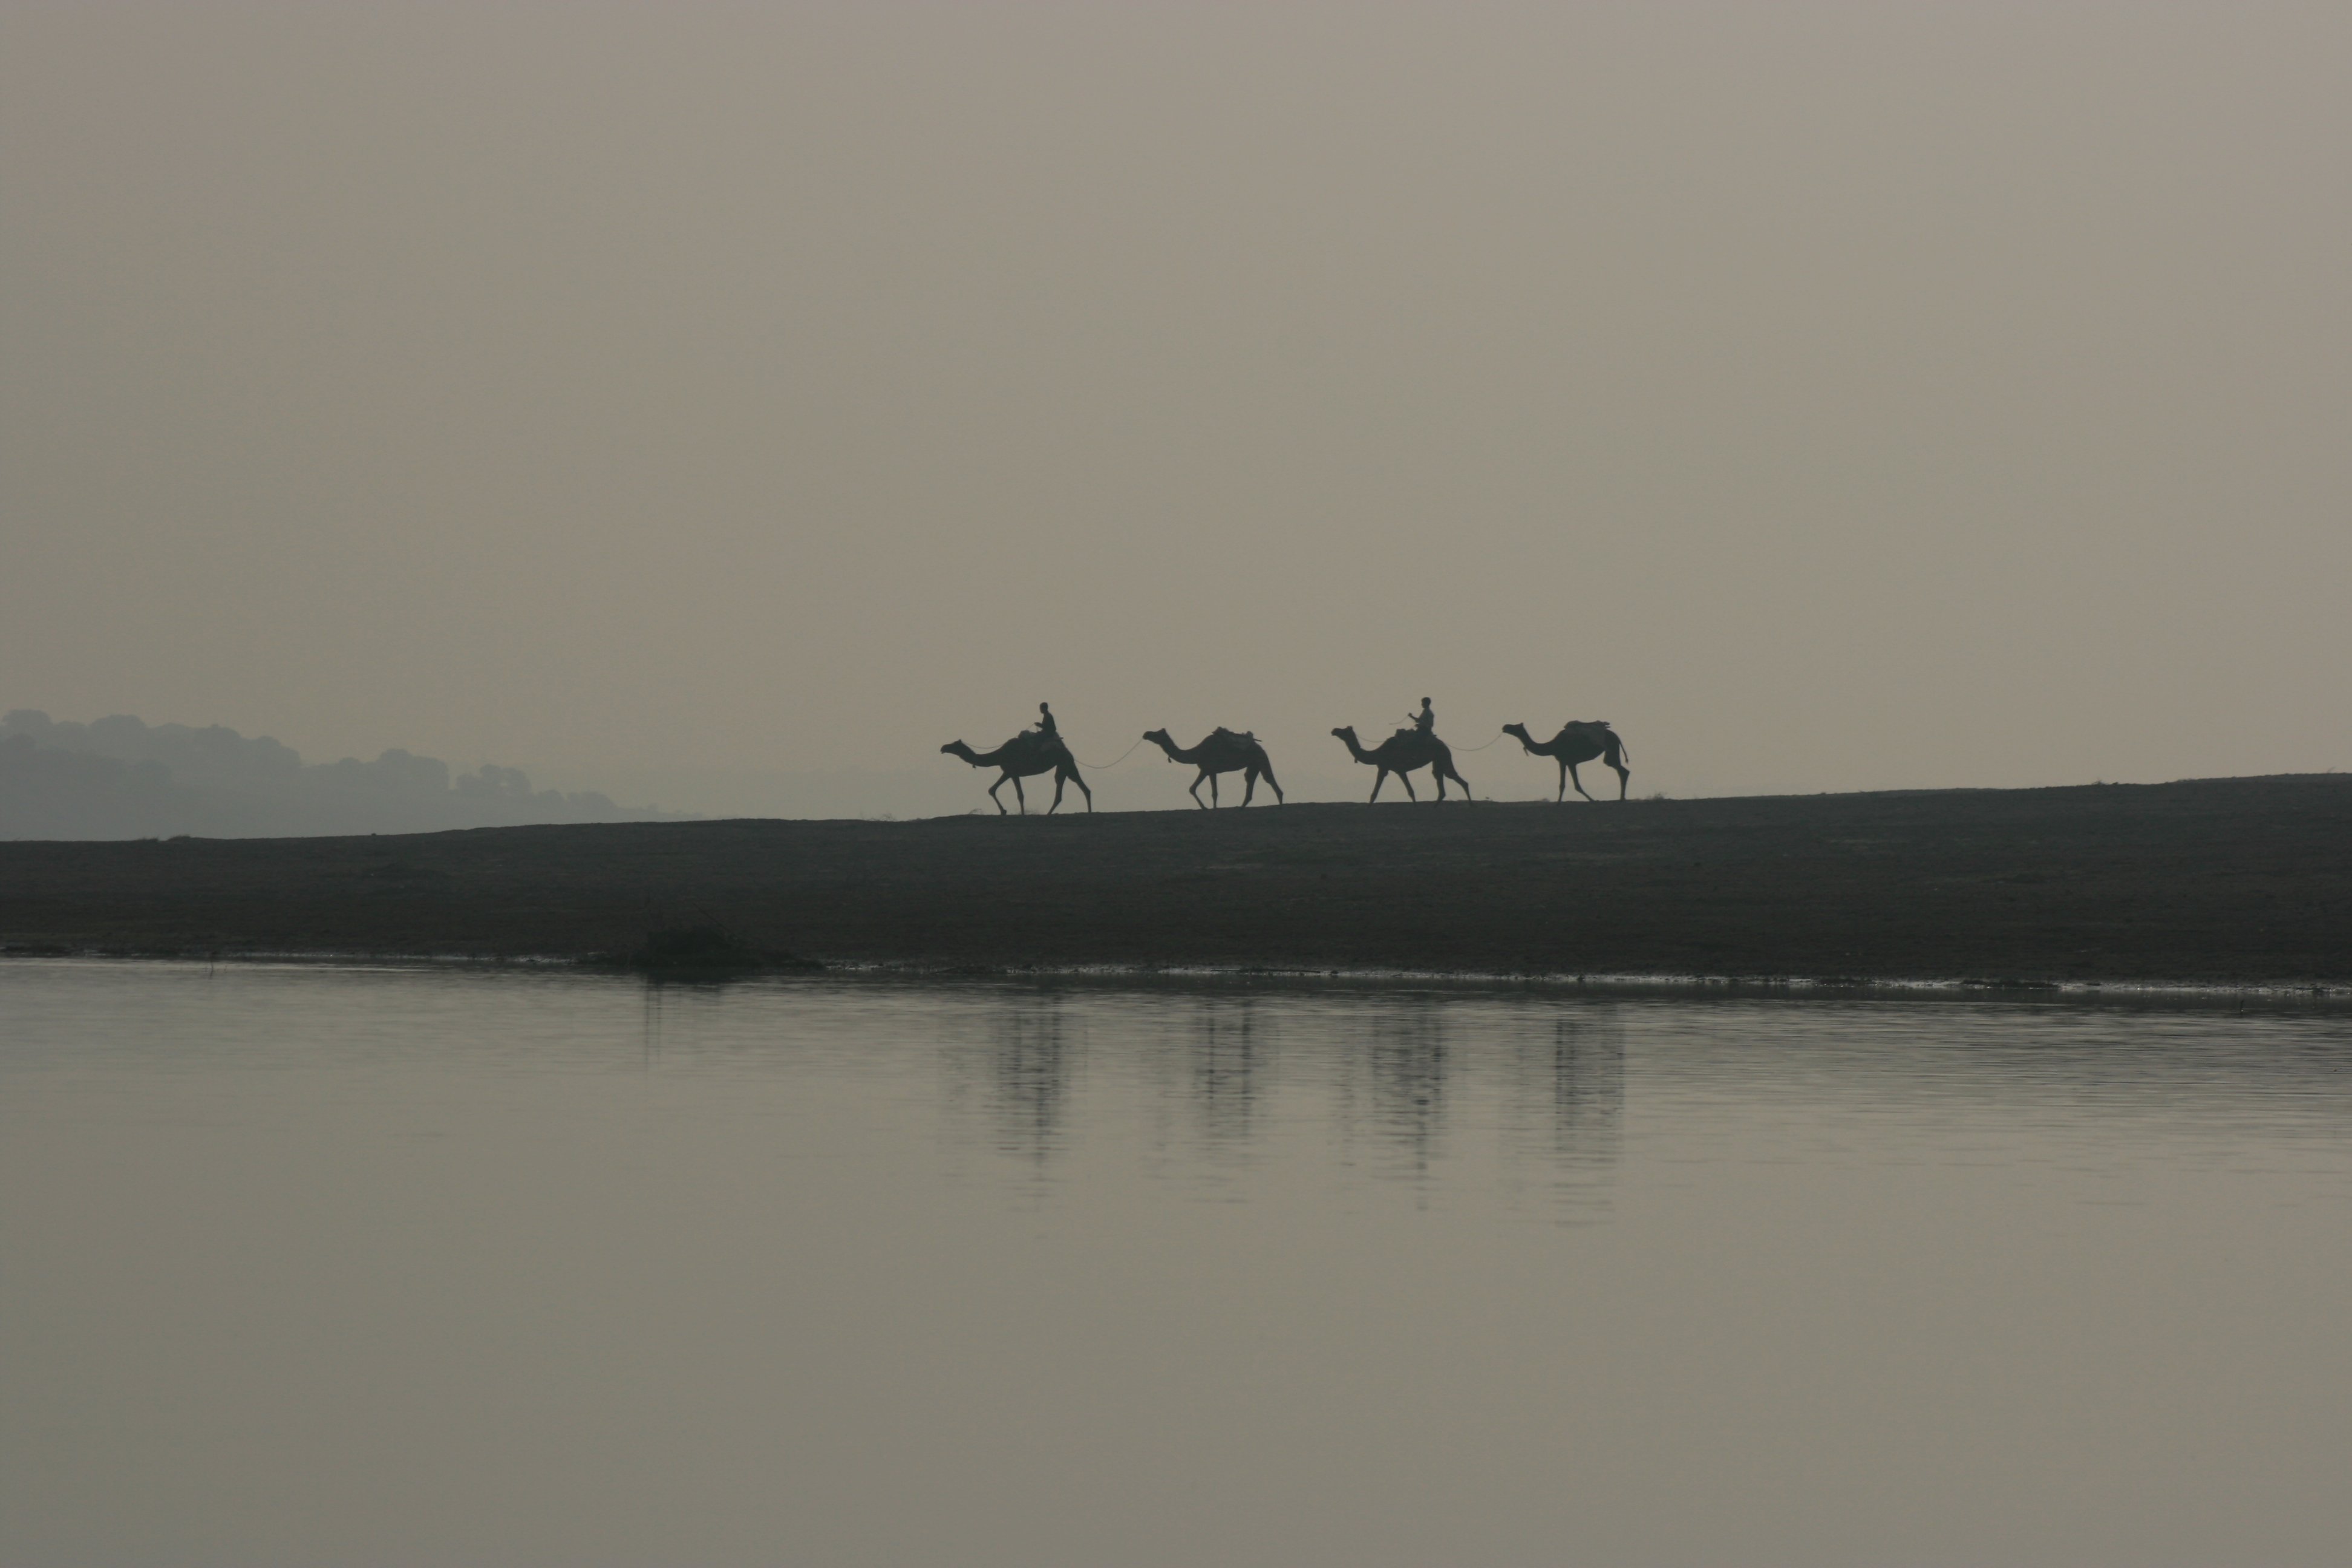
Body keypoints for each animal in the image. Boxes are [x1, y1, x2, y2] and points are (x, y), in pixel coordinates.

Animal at [940, 731, 1093, 815]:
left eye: (954, 745)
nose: (943, 747)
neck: (1000, 755)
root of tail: (1067, 751)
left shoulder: (1010, 772)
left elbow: (1015, 794)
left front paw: (1011, 812)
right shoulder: (1012, 773)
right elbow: (998, 791)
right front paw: (1004, 811)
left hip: (1063, 764)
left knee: (1059, 792)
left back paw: (1048, 814)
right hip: (1069, 766)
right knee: (1084, 788)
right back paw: (1089, 812)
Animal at [1142, 727, 1284, 808]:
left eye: (1157, 734)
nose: (1146, 734)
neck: (1197, 753)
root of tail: (1260, 747)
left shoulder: (1207, 769)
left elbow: (1204, 791)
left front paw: (1207, 808)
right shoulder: (1209, 770)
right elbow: (1202, 790)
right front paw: (1209, 808)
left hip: (1261, 758)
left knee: (1269, 779)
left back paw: (1280, 807)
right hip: (1253, 765)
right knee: (1250, 781)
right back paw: (1241, 808)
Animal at [1330, 725, 1474, 803]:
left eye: (1344, 731)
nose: (1334, 730)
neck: (1377, 754)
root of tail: (1445, 745)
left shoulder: (1384, 768)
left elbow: (1374, 794)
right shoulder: (1399, 770)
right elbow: (1411, 791)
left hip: (1443, 756)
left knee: (1452, 776)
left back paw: (1471, 806)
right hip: (1438, 760)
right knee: (1443, 777)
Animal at [1502, 721, 1631, 801]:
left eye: (1515, 727)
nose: (1505, 726)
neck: (1552, 746)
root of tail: (1616, 736)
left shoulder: (1568, 761)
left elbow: (1573, 785)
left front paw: (1593, 801)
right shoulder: (1566, 762)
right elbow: (1565, 785)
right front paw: (1559, 804)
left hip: (1612, 747)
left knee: (1621, 770)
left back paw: (1621, 799)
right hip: (1611, 750)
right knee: (1621, 770)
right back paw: (1621, 799)